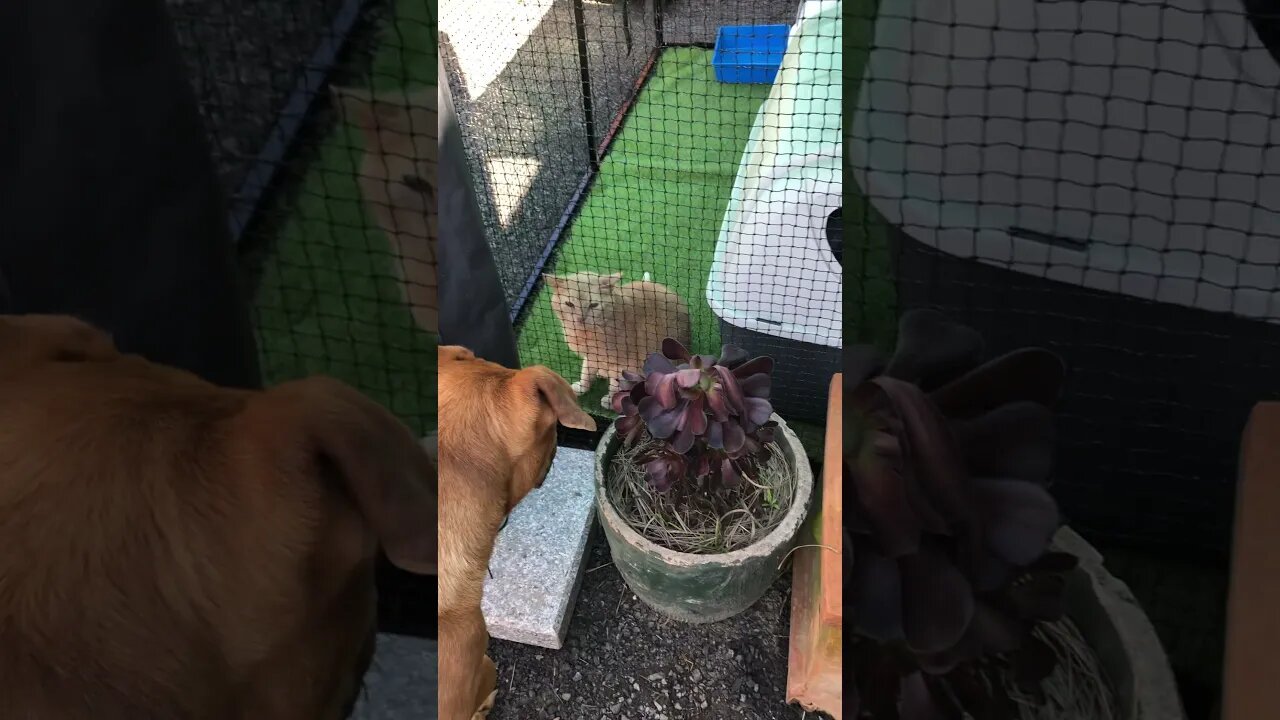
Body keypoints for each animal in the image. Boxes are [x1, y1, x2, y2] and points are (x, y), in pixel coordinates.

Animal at [547, 270, 696, 407]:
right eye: (569, 304)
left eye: (593, 305)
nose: (580, 319)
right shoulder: (591, 356)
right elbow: (586, 371)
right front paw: (583, 387)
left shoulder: (623, 362)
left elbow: (614, 383)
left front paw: (611, 399)